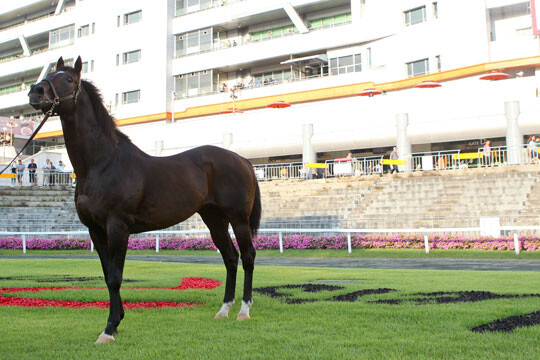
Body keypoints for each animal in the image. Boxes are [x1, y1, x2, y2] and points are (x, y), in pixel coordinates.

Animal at [29, 56, 262, 344]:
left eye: (69, 79)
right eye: (51, 73)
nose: (35, 92)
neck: (102, 163)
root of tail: (241, 160)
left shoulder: (118, 227)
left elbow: (115, 277)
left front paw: (109, 329)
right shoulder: (95, 229)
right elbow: (107, 274)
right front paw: (116, 321)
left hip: (238, 219)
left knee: (248, 256)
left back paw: (244, 311)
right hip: (214, 219)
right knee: (230, 257)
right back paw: (223, 310)